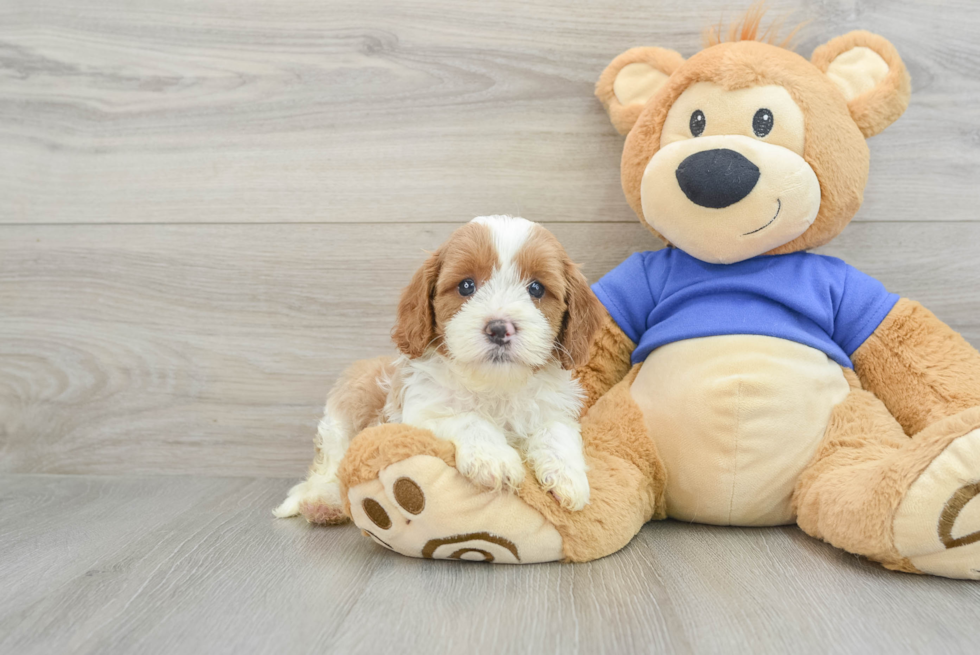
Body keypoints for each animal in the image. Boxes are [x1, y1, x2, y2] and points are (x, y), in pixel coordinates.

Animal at [272, 215, 600, 524]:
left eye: (536, 288)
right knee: (328, 467)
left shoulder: (553, 409)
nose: (498, 328)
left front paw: (568, 477)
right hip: (343, 416)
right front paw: (493, 459)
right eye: (466, 285)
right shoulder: (418, 414)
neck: (494, 385)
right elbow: (467, 418)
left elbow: (557, 431)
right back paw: (323, 502)